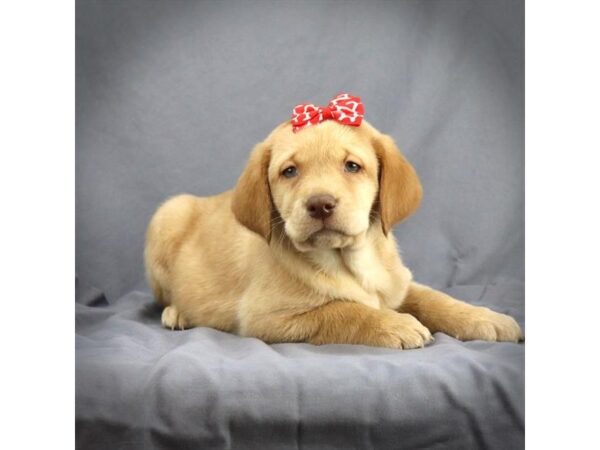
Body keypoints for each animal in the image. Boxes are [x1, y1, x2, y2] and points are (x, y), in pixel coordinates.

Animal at [144, 100, 520, 350]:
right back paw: (177, 313)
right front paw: (394, 323)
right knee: (166, 297)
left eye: (352, 166)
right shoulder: (270, 317)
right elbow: (343, 309)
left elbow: (435, 299)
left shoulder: (397, 285)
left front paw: (486, 318)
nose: (320, 204)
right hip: (167, 215)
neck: (350, 260)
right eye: (289, 171)